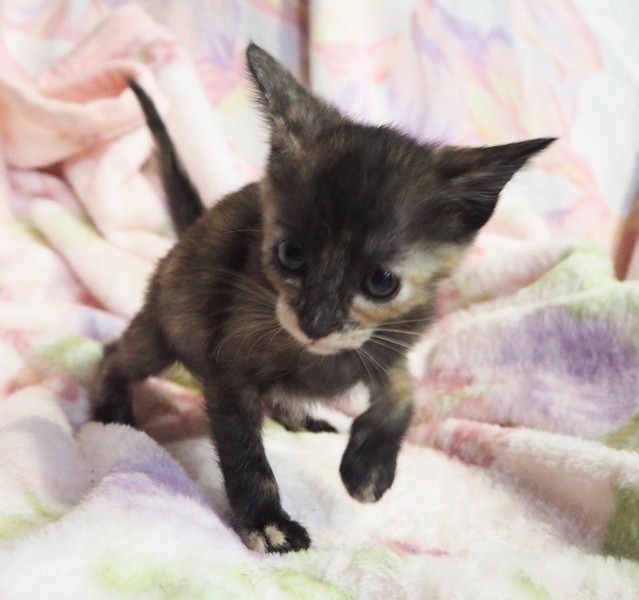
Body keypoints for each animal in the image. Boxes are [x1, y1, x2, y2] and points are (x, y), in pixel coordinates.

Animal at [92, 43, 554, 553]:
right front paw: (267, 522)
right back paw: (112, 412)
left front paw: (369, 467)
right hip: (163, 323)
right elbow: (244, 450)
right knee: (116, 355)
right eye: (290, 255)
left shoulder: (388, 344)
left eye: (381, 282)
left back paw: (301, 416)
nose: (315, 324)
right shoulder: (229, 368)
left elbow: (402, 391)